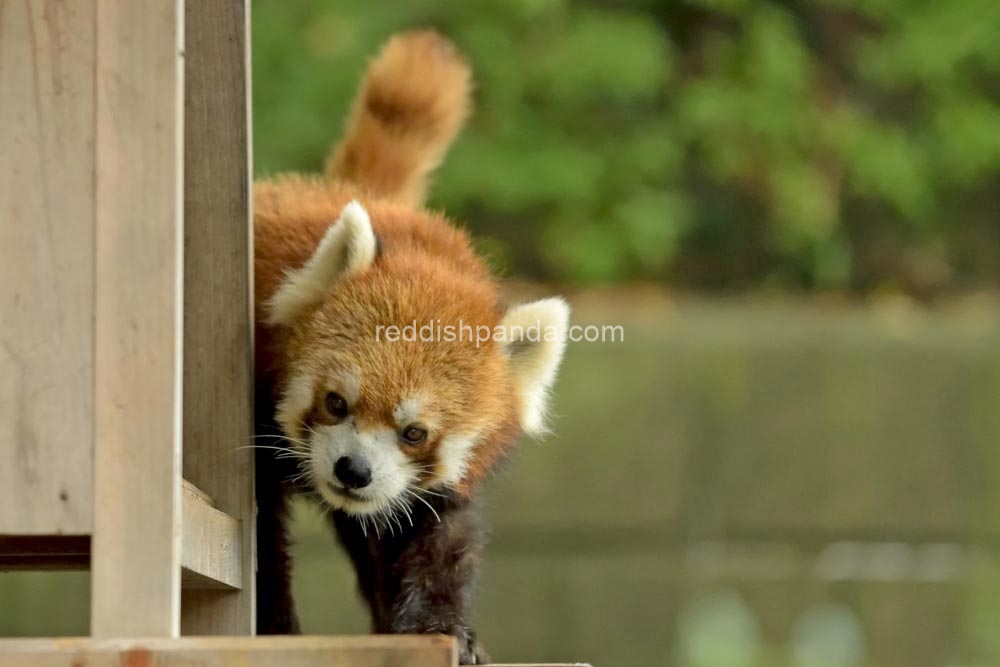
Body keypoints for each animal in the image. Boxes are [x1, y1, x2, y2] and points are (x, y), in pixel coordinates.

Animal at [254, 31, 572, 664]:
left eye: (415, 433)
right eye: (335, 402)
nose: (353, 470)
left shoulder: (435, 487)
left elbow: (436, 539)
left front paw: (443, 628)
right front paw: (274, 628)